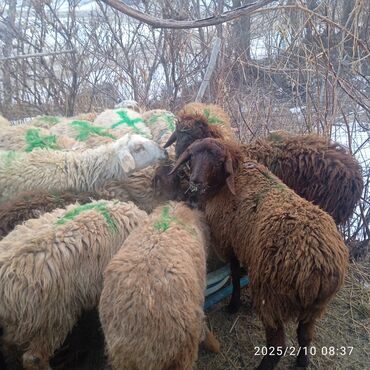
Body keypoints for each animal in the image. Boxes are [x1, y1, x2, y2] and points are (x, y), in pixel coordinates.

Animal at [171, 139, 350, 370]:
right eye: (192, 156)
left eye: (218, 161)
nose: (195, 181)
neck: (230, 182)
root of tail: (318, 266)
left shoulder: (231, 244)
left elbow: (235, 276)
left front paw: (234, 305)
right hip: (314, 309)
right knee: (305, 335)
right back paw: (301, 363)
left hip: (271, 297)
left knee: (278, 346)